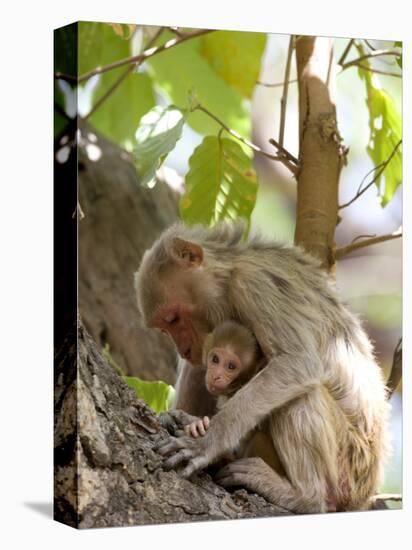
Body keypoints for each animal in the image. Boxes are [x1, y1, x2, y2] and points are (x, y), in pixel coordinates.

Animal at [134, 222, 390, 516]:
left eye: (173, 318)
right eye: (164, 327)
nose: (183, 349)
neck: (230, 273)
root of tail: (366, 492)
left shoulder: (254, 285)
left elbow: (298, 362)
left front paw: (208, 442)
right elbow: (201, 368)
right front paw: (187, 421)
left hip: (349, 464)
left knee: (300, 395)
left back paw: (307, 497)